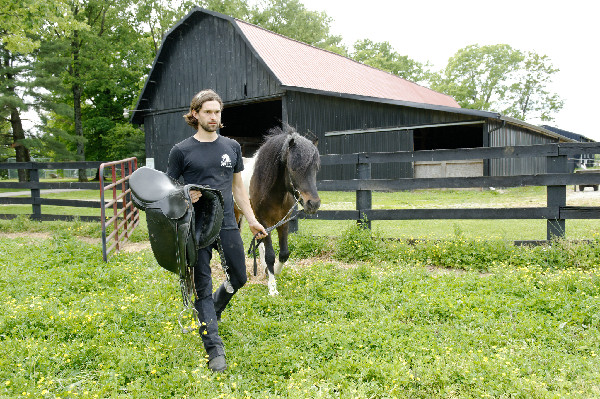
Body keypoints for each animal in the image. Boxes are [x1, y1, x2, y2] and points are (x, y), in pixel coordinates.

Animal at [241, 126, 322, 296]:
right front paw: (272, 288)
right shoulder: (264, 222)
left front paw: (273, 272)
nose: (313, 204)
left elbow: (284, 253)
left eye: (315, 168)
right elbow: (271, 255)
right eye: (293, 168)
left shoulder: (283, 222)